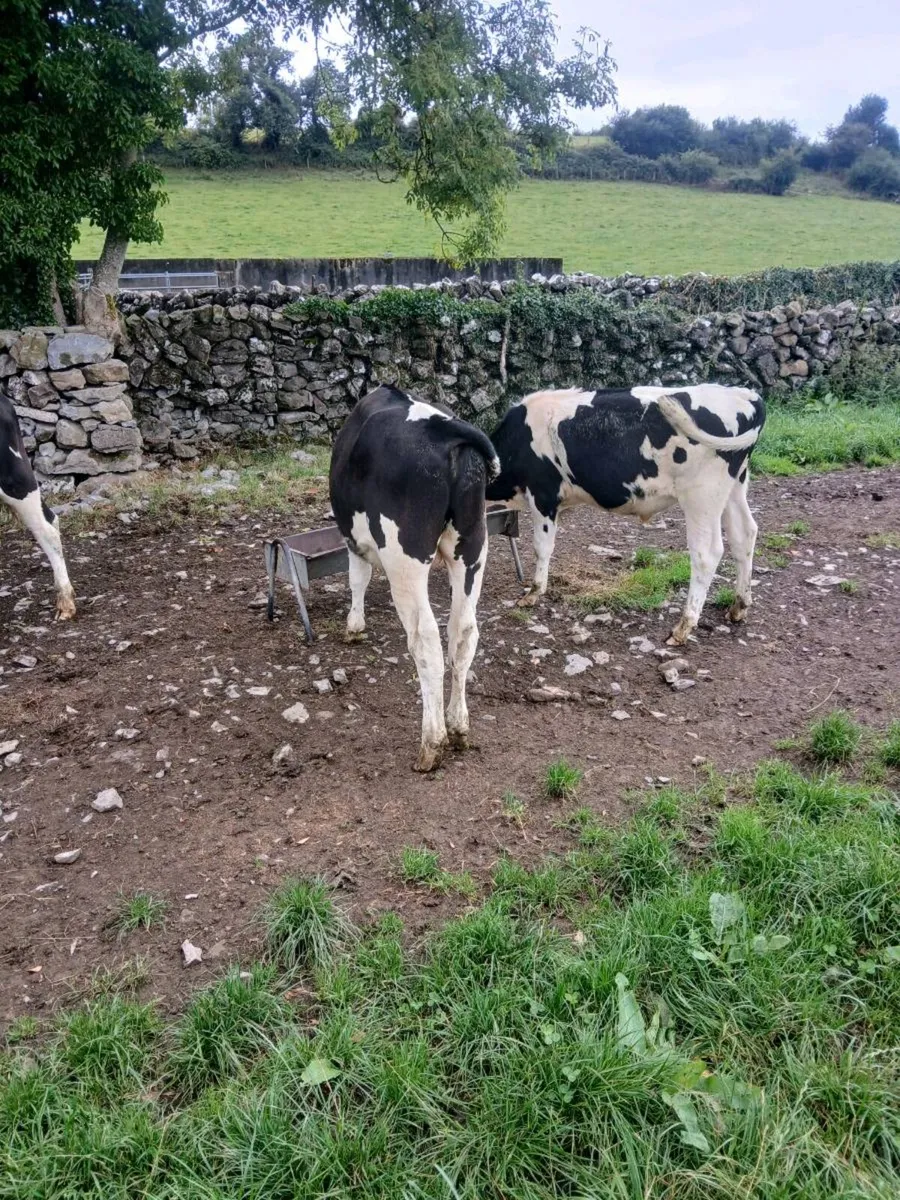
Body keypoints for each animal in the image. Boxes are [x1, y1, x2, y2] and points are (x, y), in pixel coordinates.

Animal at [330, 385, 500, 771]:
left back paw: (431, 743)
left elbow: (357, 578)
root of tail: (444, 427)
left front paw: (354, 626)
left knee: (426, 640)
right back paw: (458, 727)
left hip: (404, 559)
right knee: (463, 632)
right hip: (473, 544)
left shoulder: (352, 539)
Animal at [486, 384, 765, 645]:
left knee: (706, 554)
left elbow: (541, 547)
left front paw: (533, 592)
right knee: (745, 535)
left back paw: (684, 626)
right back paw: (739, 606)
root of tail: (743, 395)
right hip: (734, 486)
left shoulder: (543, 495)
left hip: (702, 495)